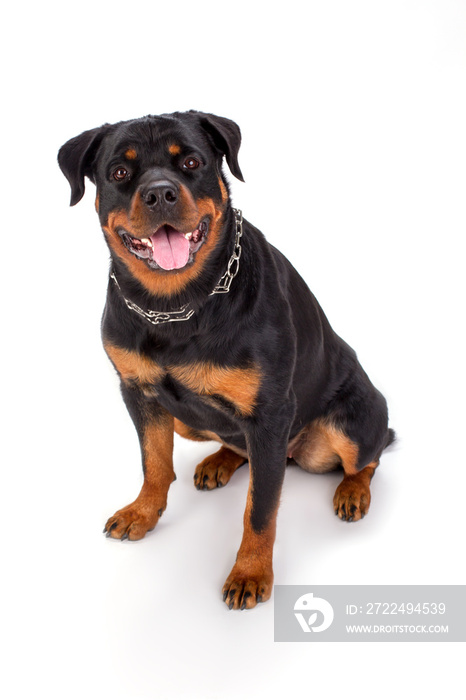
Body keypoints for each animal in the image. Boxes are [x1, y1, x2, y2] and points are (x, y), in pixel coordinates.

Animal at [57, 112, 394, 608]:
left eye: (191, 162)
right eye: (119, 171)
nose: (160, 193)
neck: (176, 305)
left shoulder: (270, 414)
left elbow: (260, 510)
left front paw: (250, 573)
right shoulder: (138, 392)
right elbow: (153, 462)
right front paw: (143, 512)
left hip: (352, 420)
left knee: (369, 455)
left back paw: (352, 491)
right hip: (188, 420)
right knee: (236, 446)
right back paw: (219, 461)